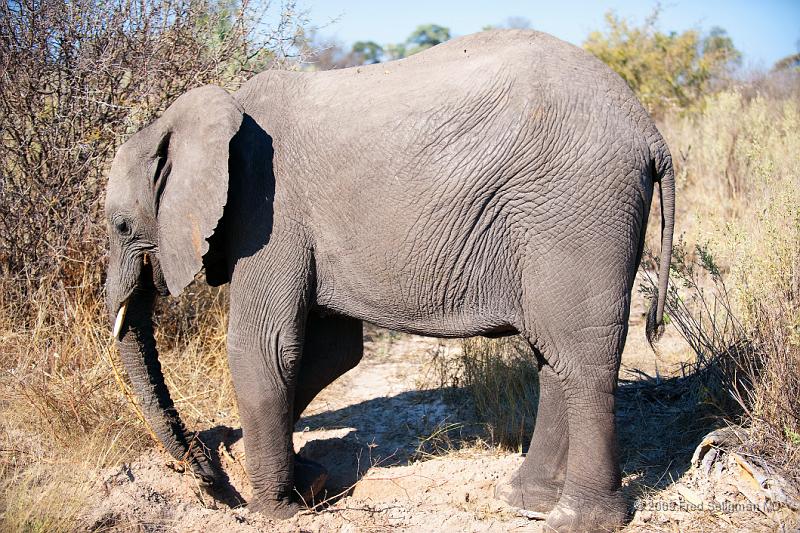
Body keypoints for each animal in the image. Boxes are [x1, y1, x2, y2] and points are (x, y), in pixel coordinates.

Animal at [103, 30, 672, 532]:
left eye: (122, 226)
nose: (204, 473)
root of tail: (650, 132)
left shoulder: (267, 212)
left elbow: (265, 348)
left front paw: (274, 511)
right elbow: (331, 353)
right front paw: (295, 477)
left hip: (577, 208)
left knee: (580, 356)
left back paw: (578, 520)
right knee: (552, 355)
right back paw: (523, 501)